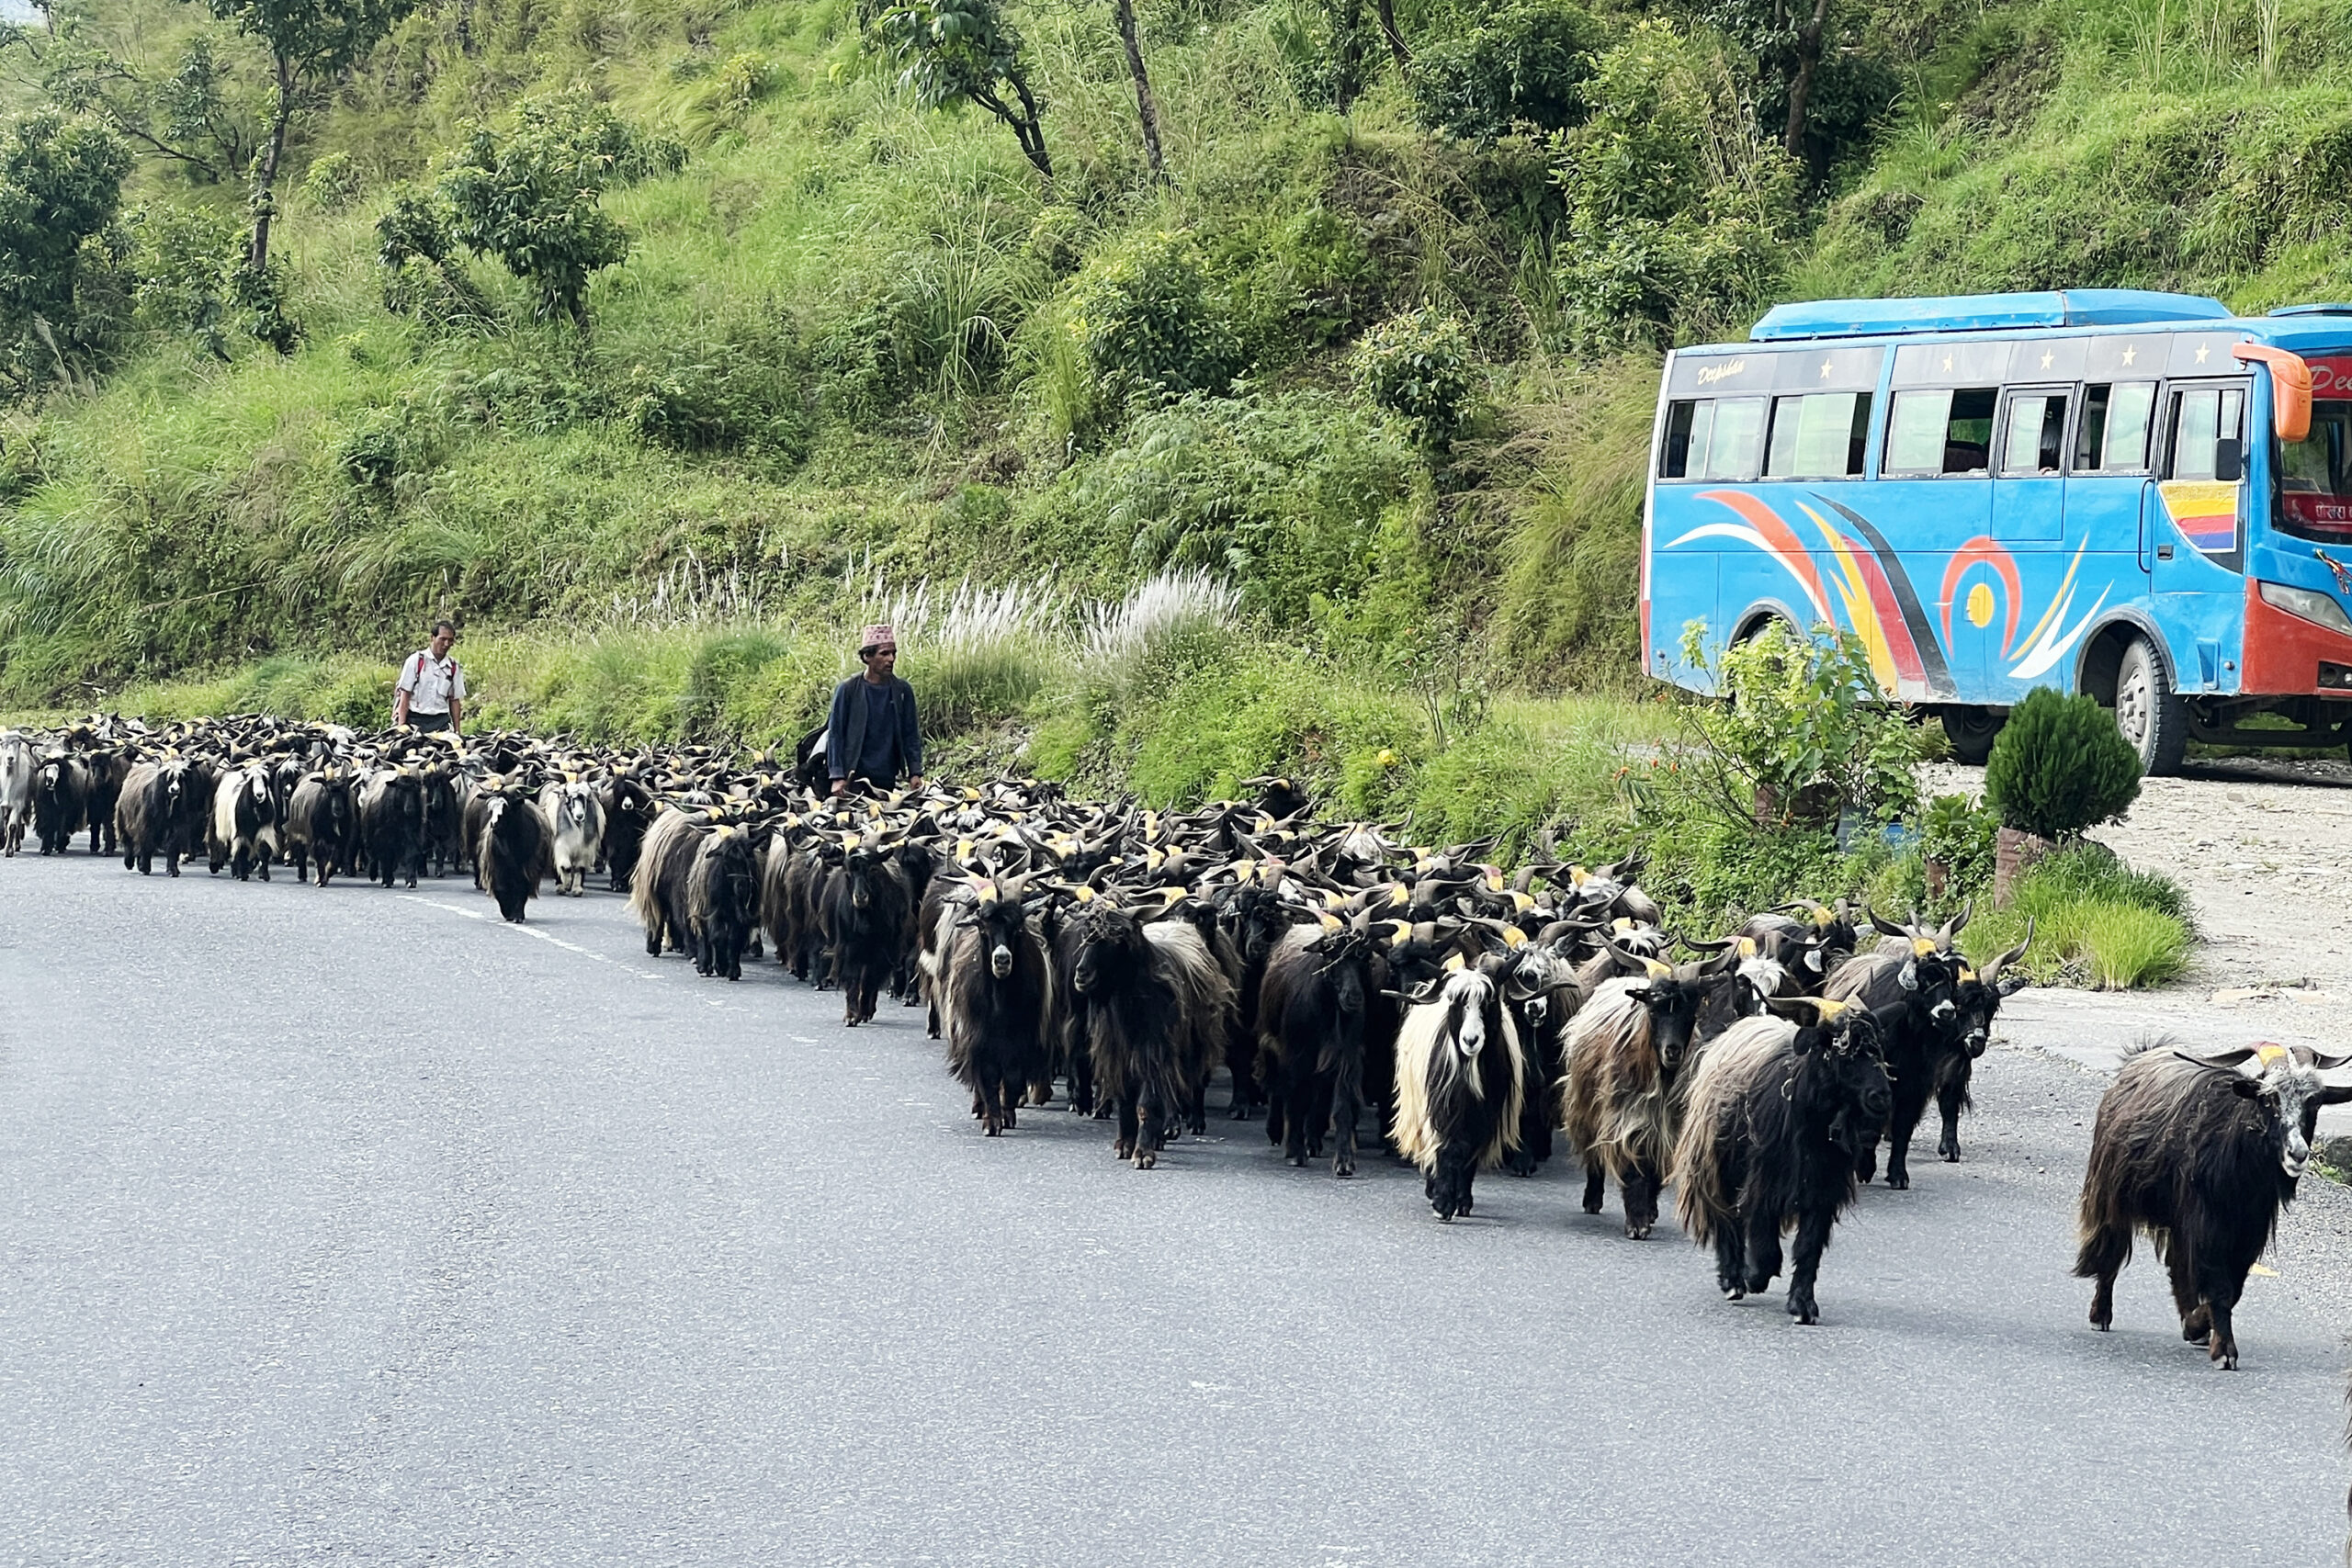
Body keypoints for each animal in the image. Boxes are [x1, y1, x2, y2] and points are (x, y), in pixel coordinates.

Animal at [1674, 1001, 1891, 1316]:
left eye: (1879, 1051)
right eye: (1845, 1055)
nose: (1882, 1096)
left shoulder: (1822, 1189)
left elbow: (1808, 1246)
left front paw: (1803, 1304)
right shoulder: (1763, 1181)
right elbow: (1765, 1244)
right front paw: (1753, 1277)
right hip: (1718, 1164)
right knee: (1727, 1219)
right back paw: (1733, 1279)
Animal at [2079, 1043, 2352, 1372]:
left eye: (2315, 1102)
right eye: (2268, 1099)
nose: (2297, 1154)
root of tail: (2138, 1059)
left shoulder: (2246, 1233)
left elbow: (2231, 1290)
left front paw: (2197, 1326)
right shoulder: (2207, 1223)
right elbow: (2220, 1289)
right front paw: (2224, 1351)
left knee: (2176, 1265)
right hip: (2112, 1192)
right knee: (2111, 1248)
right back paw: (2100, 1314)